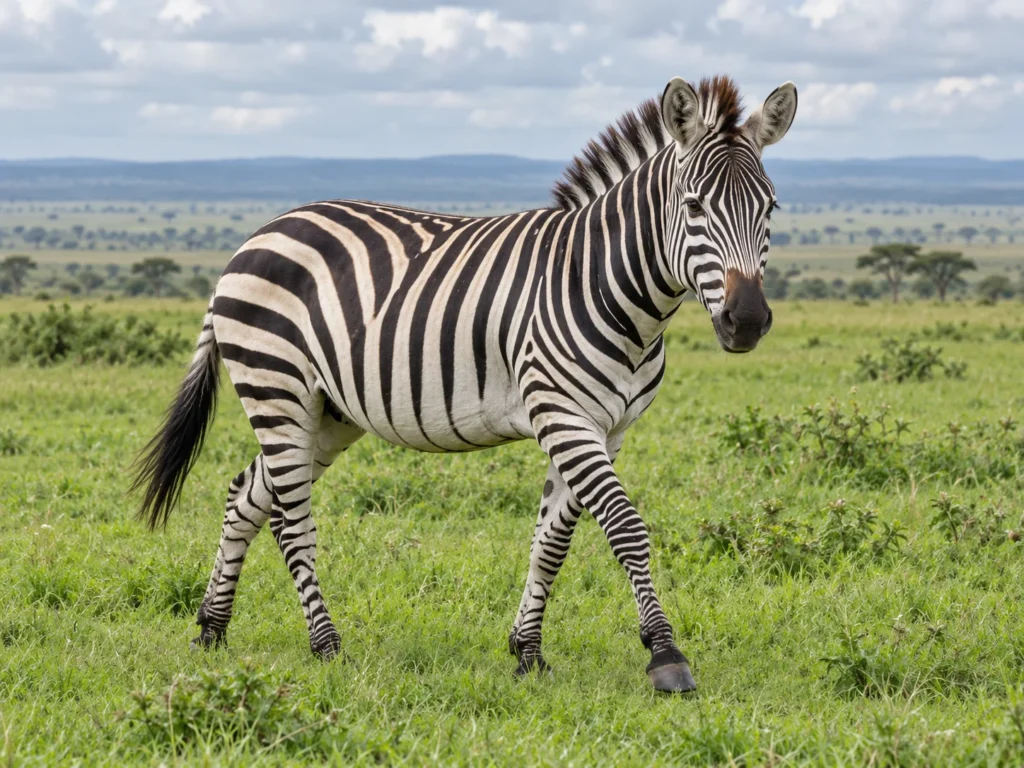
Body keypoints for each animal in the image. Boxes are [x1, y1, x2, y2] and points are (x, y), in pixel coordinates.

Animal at [133, 74, 797, 693]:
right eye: (694, 207)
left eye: (770, 209)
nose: (746, 321)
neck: (607, 287)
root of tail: (260, 233)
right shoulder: (563, 414)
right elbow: (626, 526)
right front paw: (665, 654)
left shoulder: (605, 428)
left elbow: (552, 540)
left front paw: (527, 652)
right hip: (276, 384)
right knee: (291, 519)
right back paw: (326, 645)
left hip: (326, 412)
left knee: (247, 495)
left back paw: (211, 631)